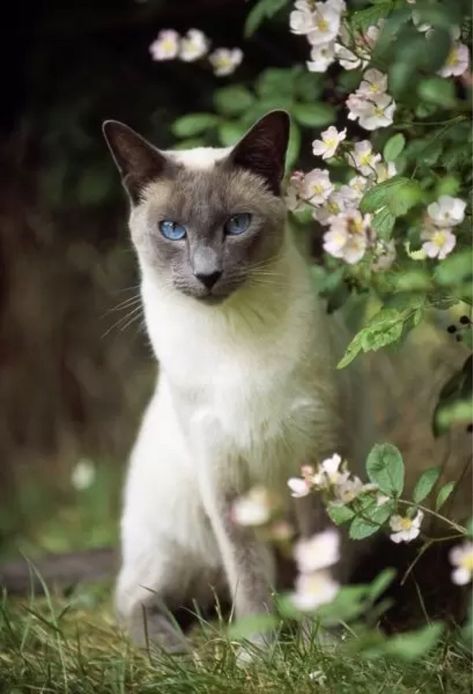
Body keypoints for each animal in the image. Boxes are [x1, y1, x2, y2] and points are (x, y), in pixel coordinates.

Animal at [102, 113, 368, 652]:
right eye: (172, 230)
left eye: (237, 225)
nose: (207, 275)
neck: (233, 338)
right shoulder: (223, 473)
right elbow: (248, 573)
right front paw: (259, 655)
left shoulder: (316, 454)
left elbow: (319, 564)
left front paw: (325, 647)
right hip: (175, 541)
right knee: (134, 599)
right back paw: (175, 652)